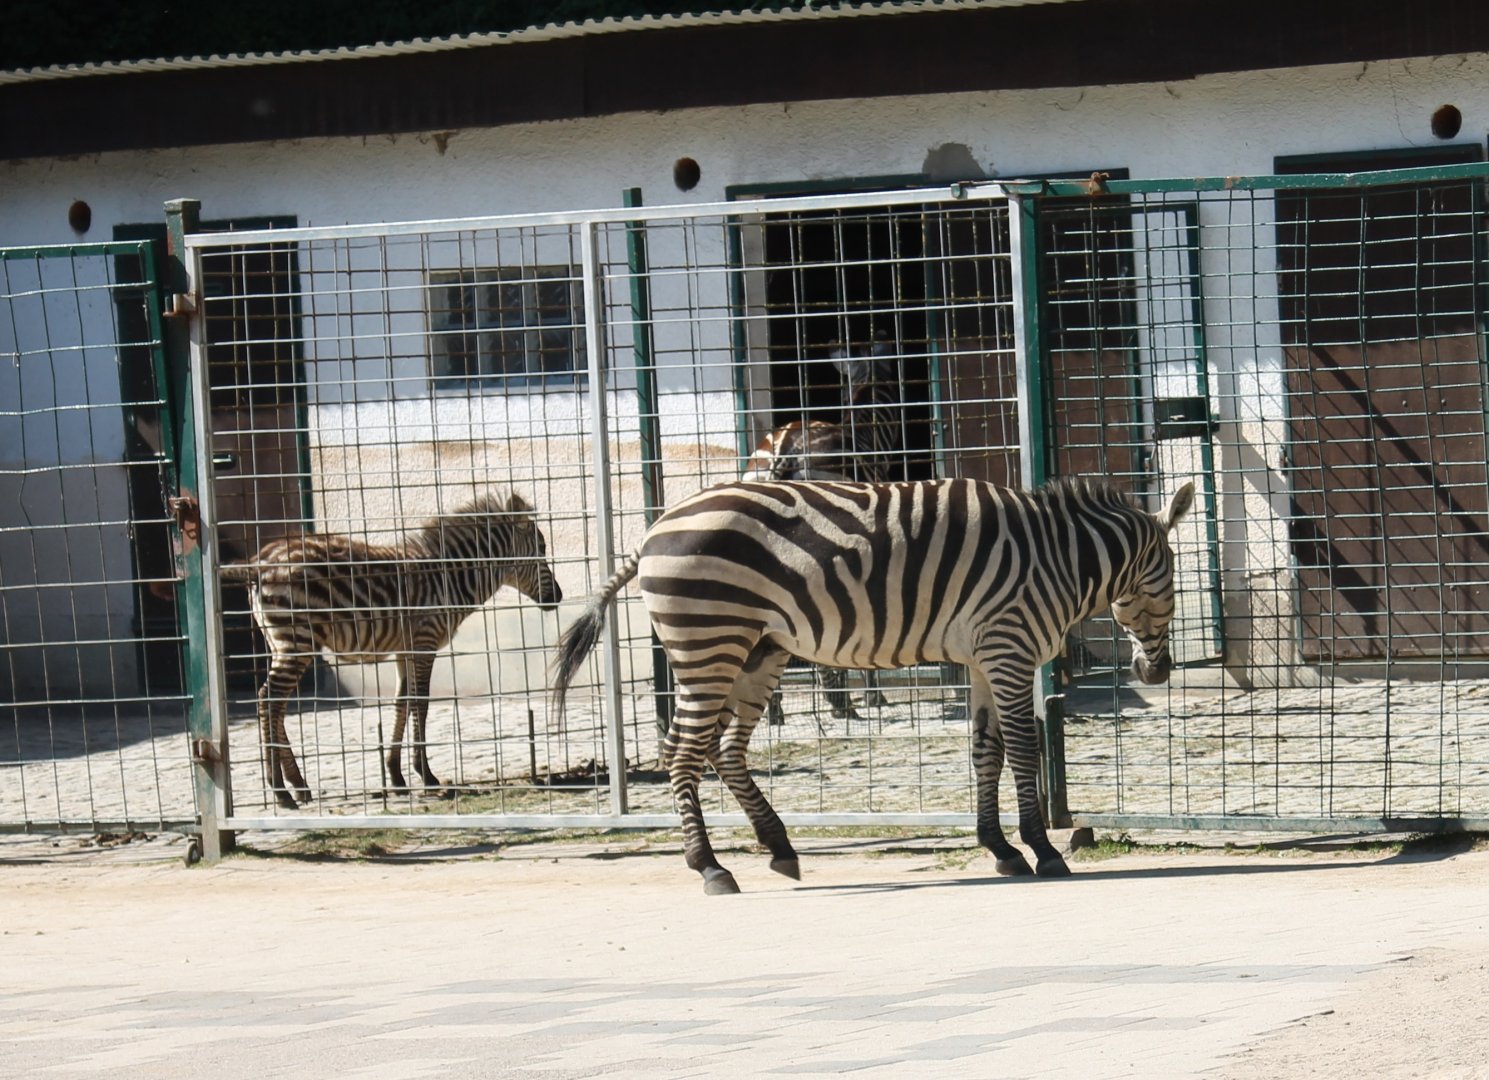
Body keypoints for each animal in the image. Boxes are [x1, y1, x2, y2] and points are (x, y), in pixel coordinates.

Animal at [221, 491, 562, 809]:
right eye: (542, 549)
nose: (557, 597)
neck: (449, 577)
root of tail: (259, 564)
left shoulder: (405, 649)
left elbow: (401, 703)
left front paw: (397, 776)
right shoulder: (425, 642)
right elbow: (420, 704)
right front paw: (426, 775)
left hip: (283, 643)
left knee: (275, 704)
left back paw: (298, 786)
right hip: (297, 640)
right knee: (268, 700)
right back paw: (280, 791)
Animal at [552, 476, 1194, 895]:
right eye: (1173, 582)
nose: (1157, 673)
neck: (1059, 556)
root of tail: (653, 528)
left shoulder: (983, 657)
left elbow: (986, 751)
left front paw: (1000, 849)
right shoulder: (1008, 647)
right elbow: (1022, 748)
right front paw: (1041, 849)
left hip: (756, 649)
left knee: (722, 748)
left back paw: (779, 849)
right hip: (710, 640)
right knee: (683, 751)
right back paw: (710, 866)